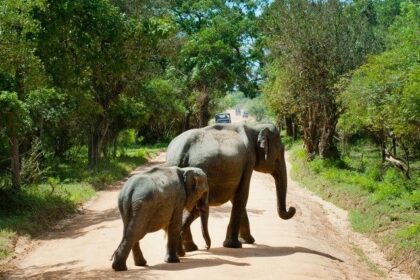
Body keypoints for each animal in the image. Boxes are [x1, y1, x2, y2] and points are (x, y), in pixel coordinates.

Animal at [165, 122, 296, 249]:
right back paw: (190, 247)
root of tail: (179, 154)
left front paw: (247, 241)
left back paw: (190, 248)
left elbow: (236, 197)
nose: (292, 208)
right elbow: (242, 195)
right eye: (280, 153)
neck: (254, 127)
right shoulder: (248, 160)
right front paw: (234, 244)